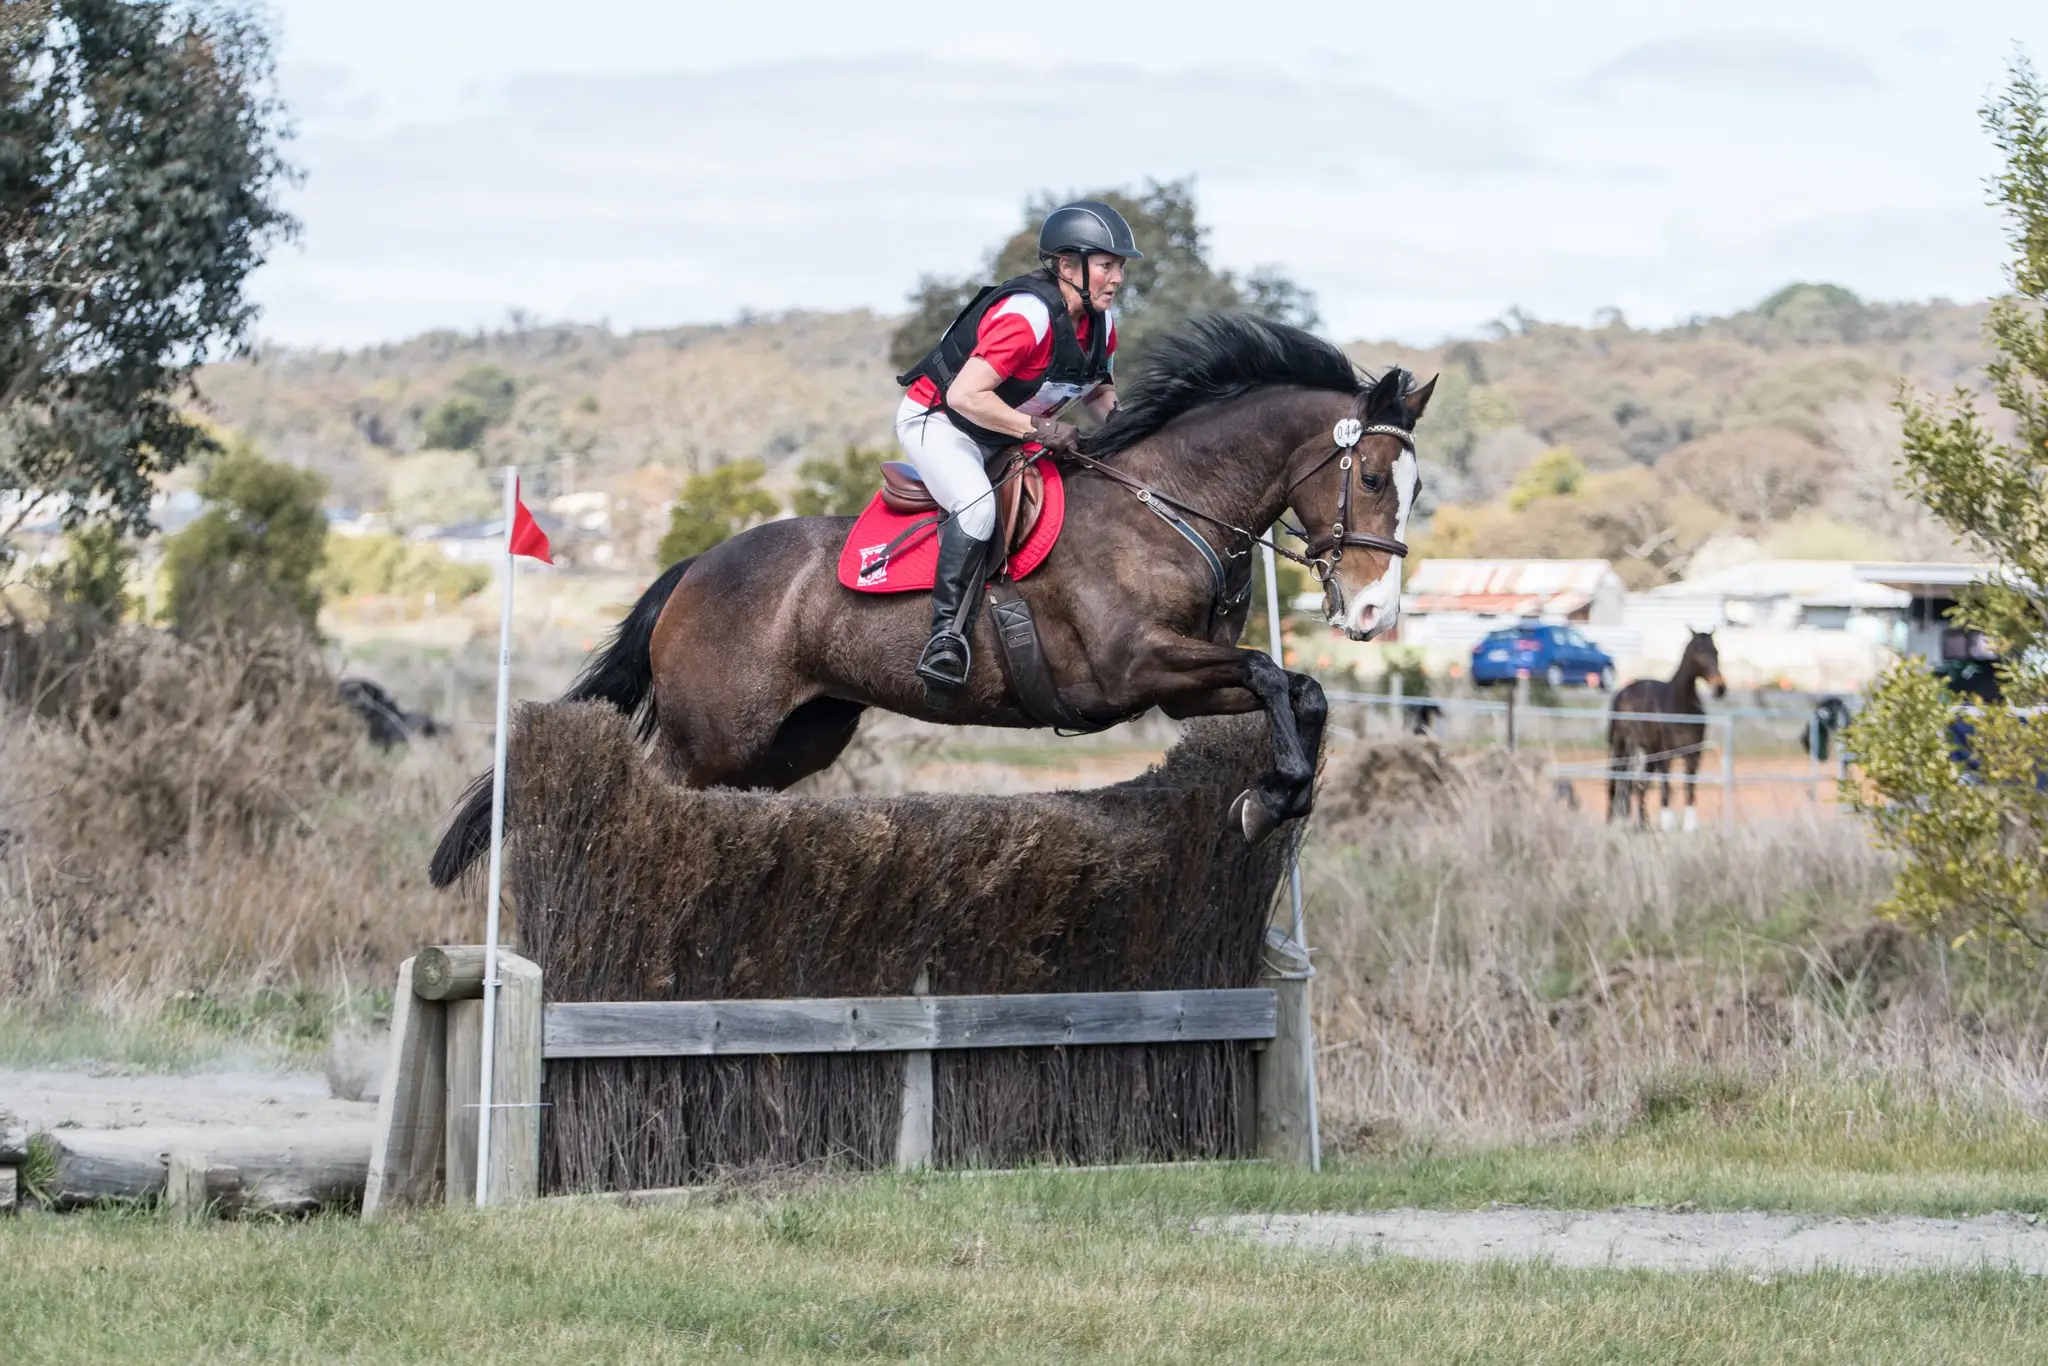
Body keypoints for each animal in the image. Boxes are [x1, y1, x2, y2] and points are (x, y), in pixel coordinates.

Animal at [430, 314, 1434, 886]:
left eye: (1416, 485)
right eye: (1371, 477)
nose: (1374, 615)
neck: (1168, 505)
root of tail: (697, 566)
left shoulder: (1180, 684)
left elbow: (1296, 688)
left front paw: (1278, 795)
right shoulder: (1133, 669)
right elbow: (1268, 672)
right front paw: (1270, 798)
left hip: (797, 735)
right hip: (713, 730)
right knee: (656, 784)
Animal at [1606, 630, 1726, 831]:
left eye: (1716, 651)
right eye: (1699, 652)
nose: (1720, 688)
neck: (1680, 707)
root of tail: (1622, 693)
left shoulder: (1693, 755)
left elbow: (1690, 788)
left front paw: (1688, 827)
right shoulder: (1666, 755)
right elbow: (1666, 787)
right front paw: (1667, 824)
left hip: (1648, 753)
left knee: (1639, 785)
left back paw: (1642, 826)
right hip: (1622, 747)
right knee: (1615, 781)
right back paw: (1611, 822)